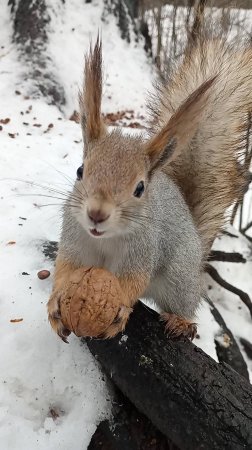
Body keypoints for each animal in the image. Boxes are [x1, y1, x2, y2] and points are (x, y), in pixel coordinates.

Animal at [47, 36, 250, 342]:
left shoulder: (143, 251)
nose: (97, 214)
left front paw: (119, 307)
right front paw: (55, 303)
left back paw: (181, 322)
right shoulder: (75, 242)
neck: (105, 239)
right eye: (80, 171)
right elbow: (65, 268)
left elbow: (133, 281)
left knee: (184, 302)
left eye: (140, 188)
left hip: (179, 278)